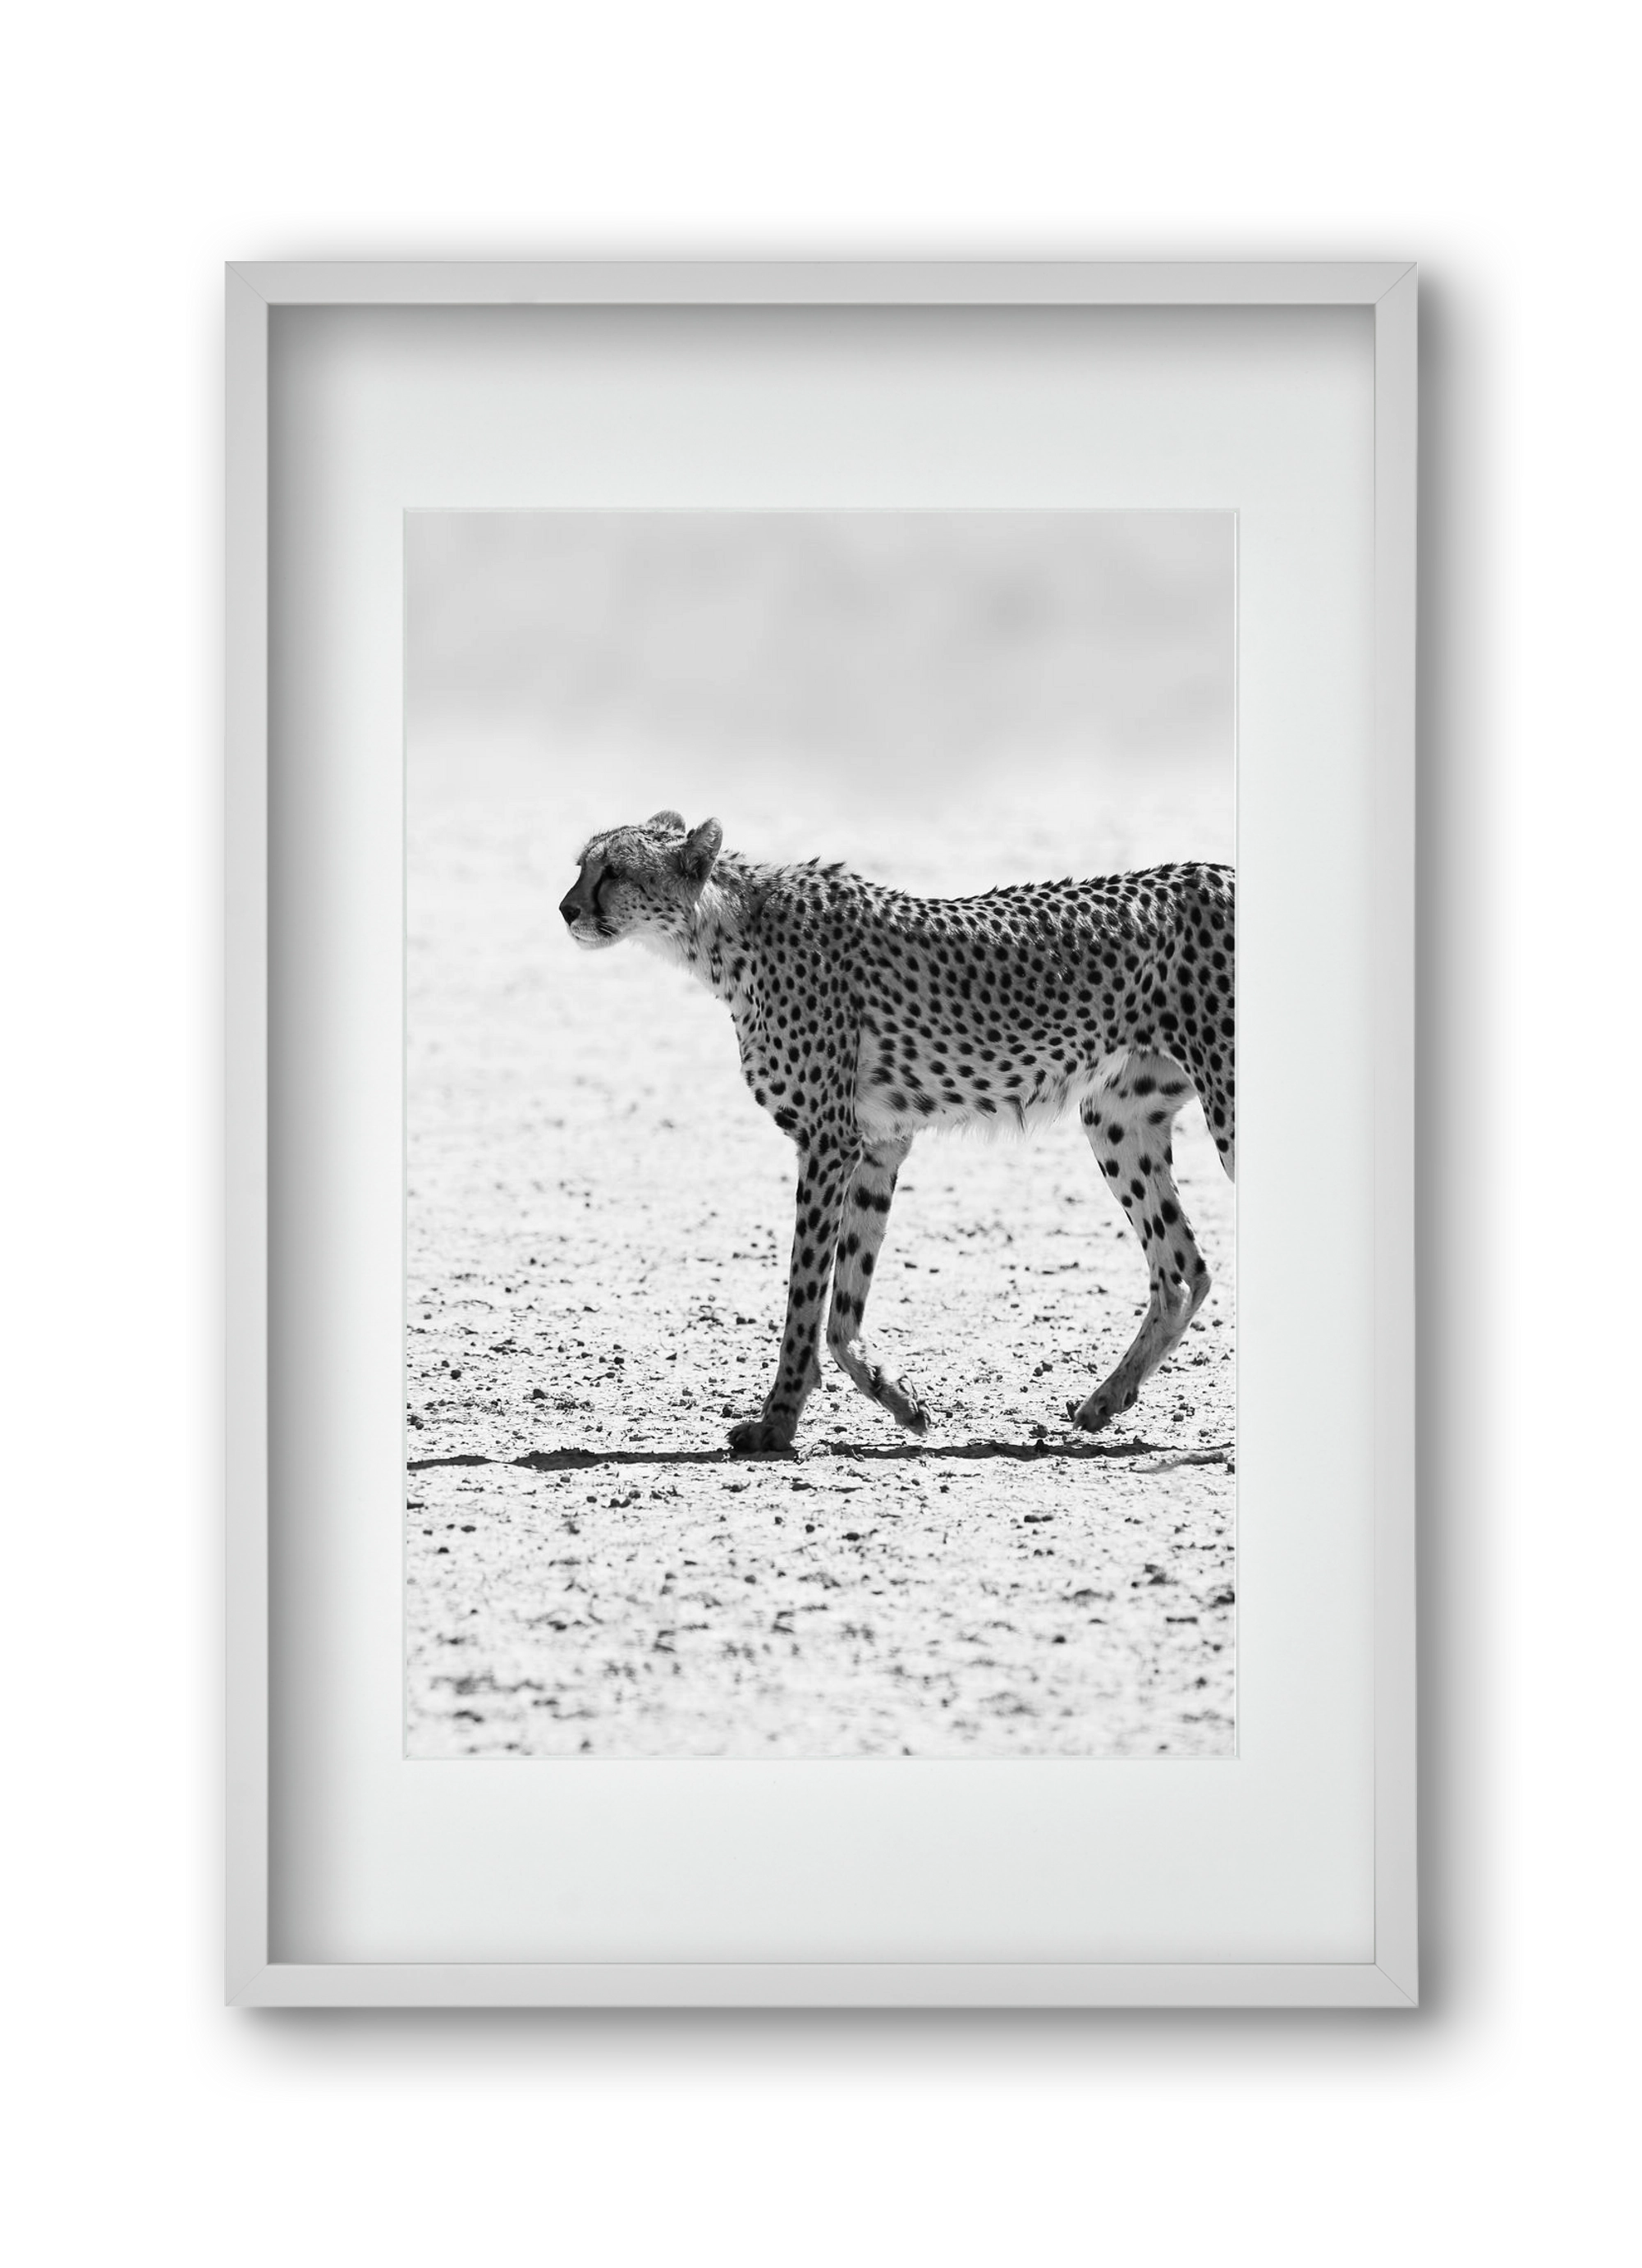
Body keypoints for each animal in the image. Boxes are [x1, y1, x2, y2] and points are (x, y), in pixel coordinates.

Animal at [559, 811, 1234, 1454]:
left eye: (614, 870)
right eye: (582, 865)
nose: (566, 909)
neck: (724, 931)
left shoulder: (828, 1141)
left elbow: (805, 1294)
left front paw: (777, 1422)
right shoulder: (878, 1144)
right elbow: (842, 1306)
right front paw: (899, 1399)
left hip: (1223, 1105)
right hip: (1117, 1118)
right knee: (1182, 1270)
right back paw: (1106, 1400)